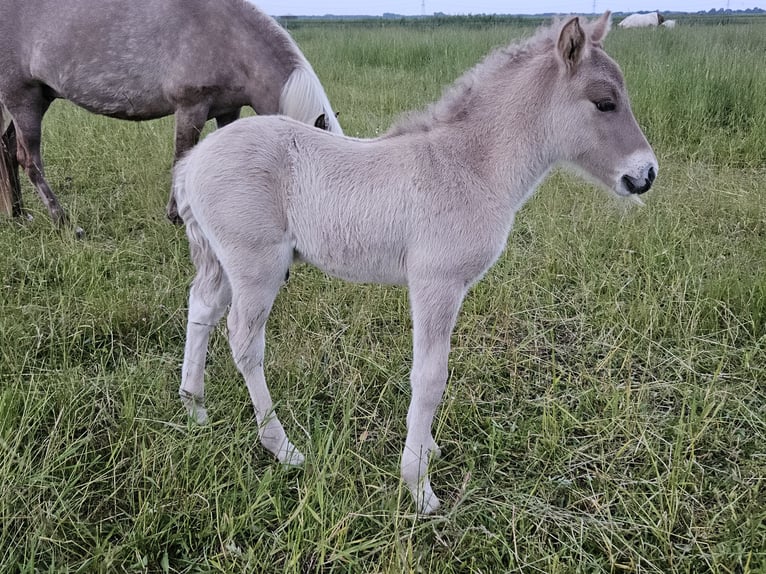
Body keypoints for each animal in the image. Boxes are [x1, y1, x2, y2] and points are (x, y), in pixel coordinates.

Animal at [0, 0, 344, 230]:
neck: (231, 37)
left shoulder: (228, 110)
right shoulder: (191, 107)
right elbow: (182, 156)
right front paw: (177, 216)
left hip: (38, 98)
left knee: (7, 147)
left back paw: (18, 213)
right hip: (23, 99)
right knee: (29, 160)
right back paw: (63, 222)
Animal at [174, 12, 660, 516]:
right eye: (605, 103)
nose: (646, 174)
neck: (468, 167)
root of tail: (192, 162)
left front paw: (427, 450)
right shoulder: (436, 284)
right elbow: (430, 377)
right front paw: (418, 486)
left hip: (222, 261)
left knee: (201, 309)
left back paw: (194, 407)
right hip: (257, 266)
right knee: (244, 341)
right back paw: (282, 447)